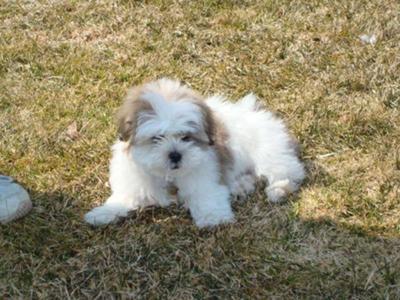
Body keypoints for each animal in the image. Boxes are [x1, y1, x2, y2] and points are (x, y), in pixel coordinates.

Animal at [83, 78, 304, 227]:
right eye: (157, 138)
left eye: (186, 137)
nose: (175, 154)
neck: (169, 175)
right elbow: (124, 197)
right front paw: (102, 213)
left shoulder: (205, 176)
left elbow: (206, 194)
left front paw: (212, 217)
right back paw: (241, 185)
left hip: (268, 150)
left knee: (288, 171)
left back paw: (278, 189)